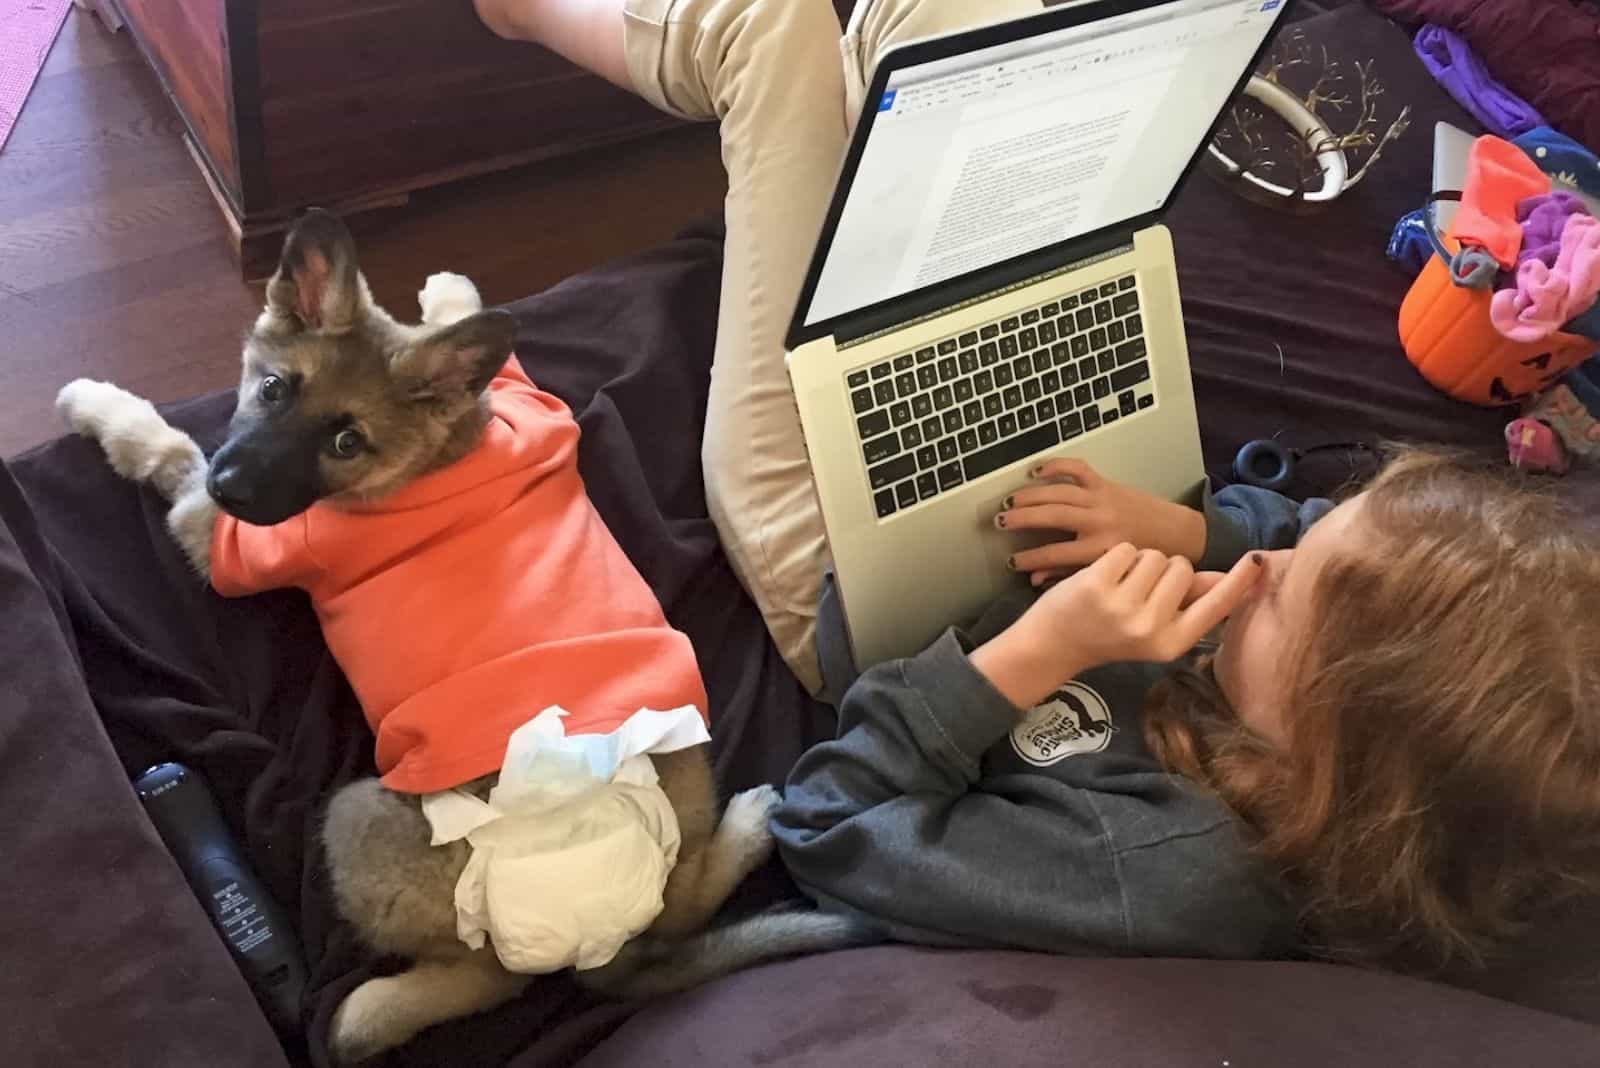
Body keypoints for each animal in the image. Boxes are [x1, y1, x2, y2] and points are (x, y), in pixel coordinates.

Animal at [56, 212, 870, 1061]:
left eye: (346, 443)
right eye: (273, 389)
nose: (232, 488)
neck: (449, 448)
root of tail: (598, 930)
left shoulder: (232, 540)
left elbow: (167, 450)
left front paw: (99, 406)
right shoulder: (529, 400)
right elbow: (486, 340)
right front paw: (447, 297)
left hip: (355, 817)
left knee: (487, 981)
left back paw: (362, 1013)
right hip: (685, 770)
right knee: (678, 907)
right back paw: (746, 829)